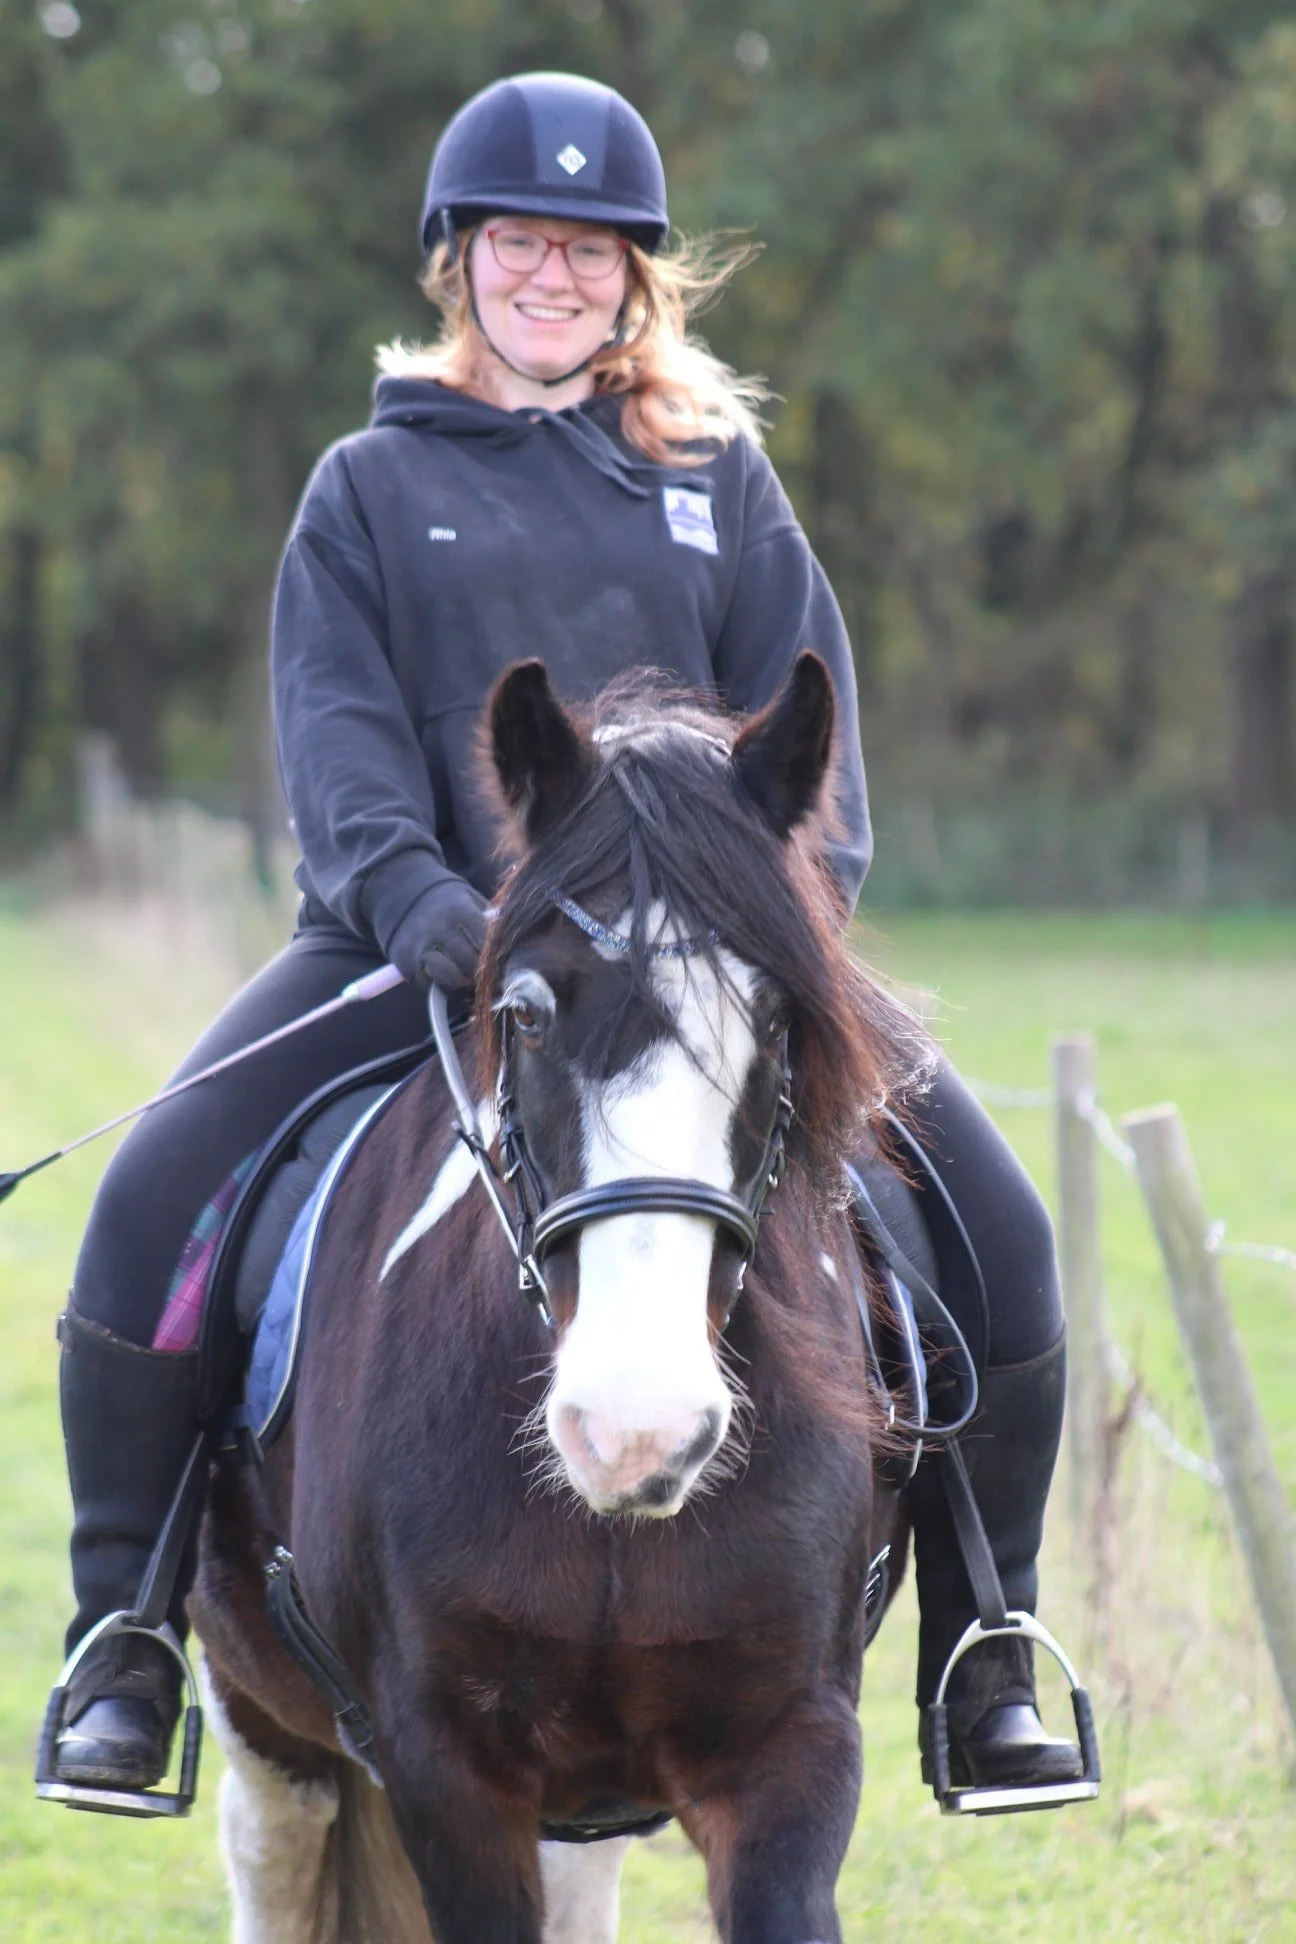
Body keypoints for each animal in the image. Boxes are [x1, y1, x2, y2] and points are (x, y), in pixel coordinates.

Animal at [190, 652, 930, 1944]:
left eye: (775, 1017)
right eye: (527, 1013)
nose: (637, 1430)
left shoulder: (787, 1747)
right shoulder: (446, 1770)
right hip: (265, 1723)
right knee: (273, 1857)